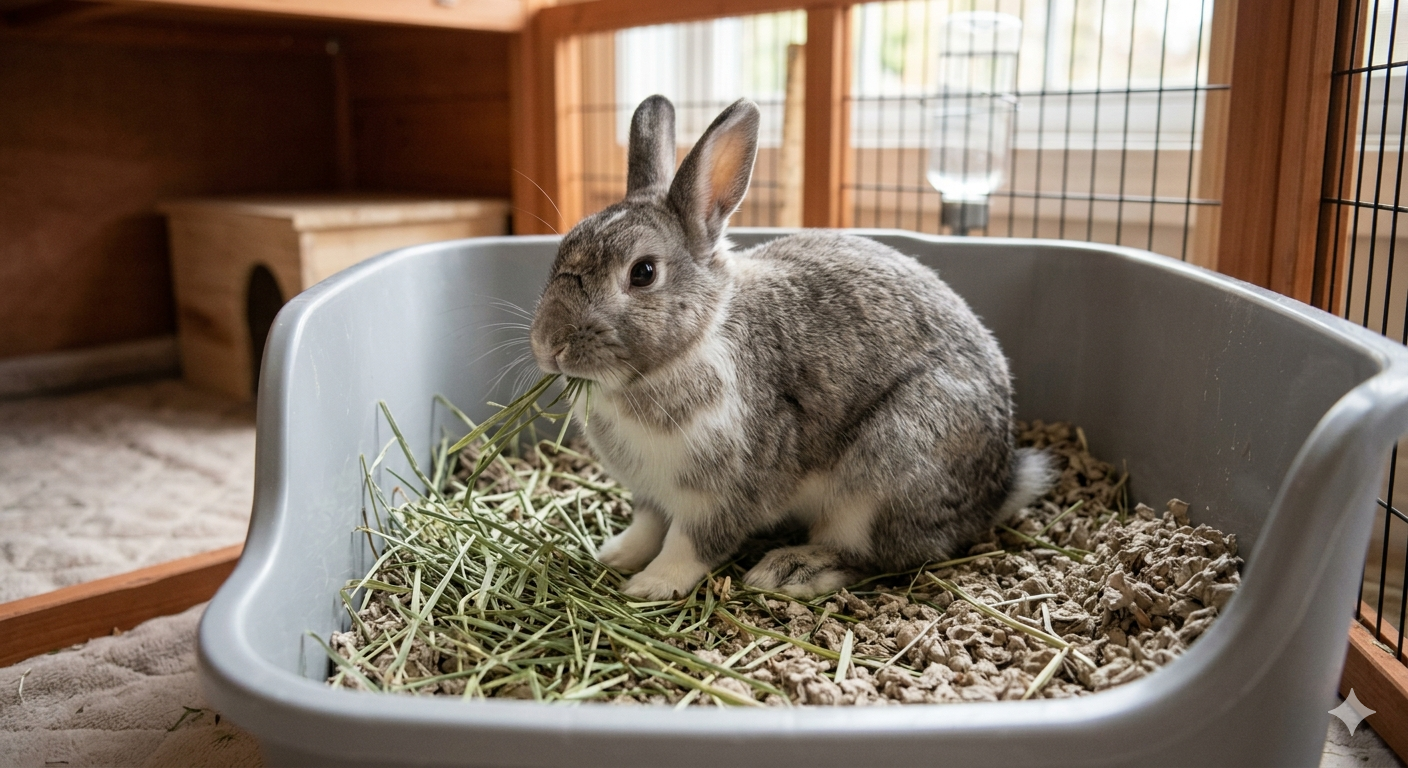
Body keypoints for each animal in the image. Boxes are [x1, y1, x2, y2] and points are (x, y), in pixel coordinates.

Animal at [528, 94, 1053, 600]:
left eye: (643, 273)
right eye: (562, 248)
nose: (548, 345)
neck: (691, 345)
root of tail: (998, 487)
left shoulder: (726, 490)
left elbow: (691, 543)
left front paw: (651, 585)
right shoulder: (650, 492)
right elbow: (647, 526)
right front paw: (616, 555)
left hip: (885, 477)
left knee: (877, 557)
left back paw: (788, 571)